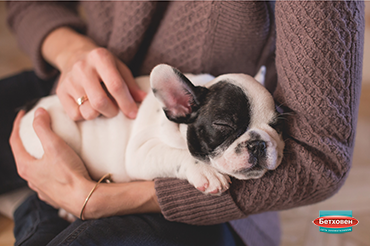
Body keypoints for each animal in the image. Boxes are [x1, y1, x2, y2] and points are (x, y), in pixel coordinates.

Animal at [18, 64, 284, 196]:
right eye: (224, 125)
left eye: (277, 126)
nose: (258, 143)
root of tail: (30, 107)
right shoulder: (140, 152)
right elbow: (178, 154)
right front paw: (207, 172)